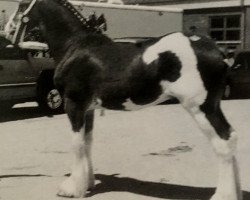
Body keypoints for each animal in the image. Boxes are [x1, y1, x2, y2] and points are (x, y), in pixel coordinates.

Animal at [24, 0, 241, 199]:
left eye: (22, 8)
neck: (75, 46)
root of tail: (219, 52)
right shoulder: (88, 108)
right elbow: (87, 142)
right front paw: (88, 183)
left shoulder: (74, 104)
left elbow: (76, 143)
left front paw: (71, 189)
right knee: (231, 137)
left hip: (200, 107)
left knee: (223, 141)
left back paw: (223, 195)